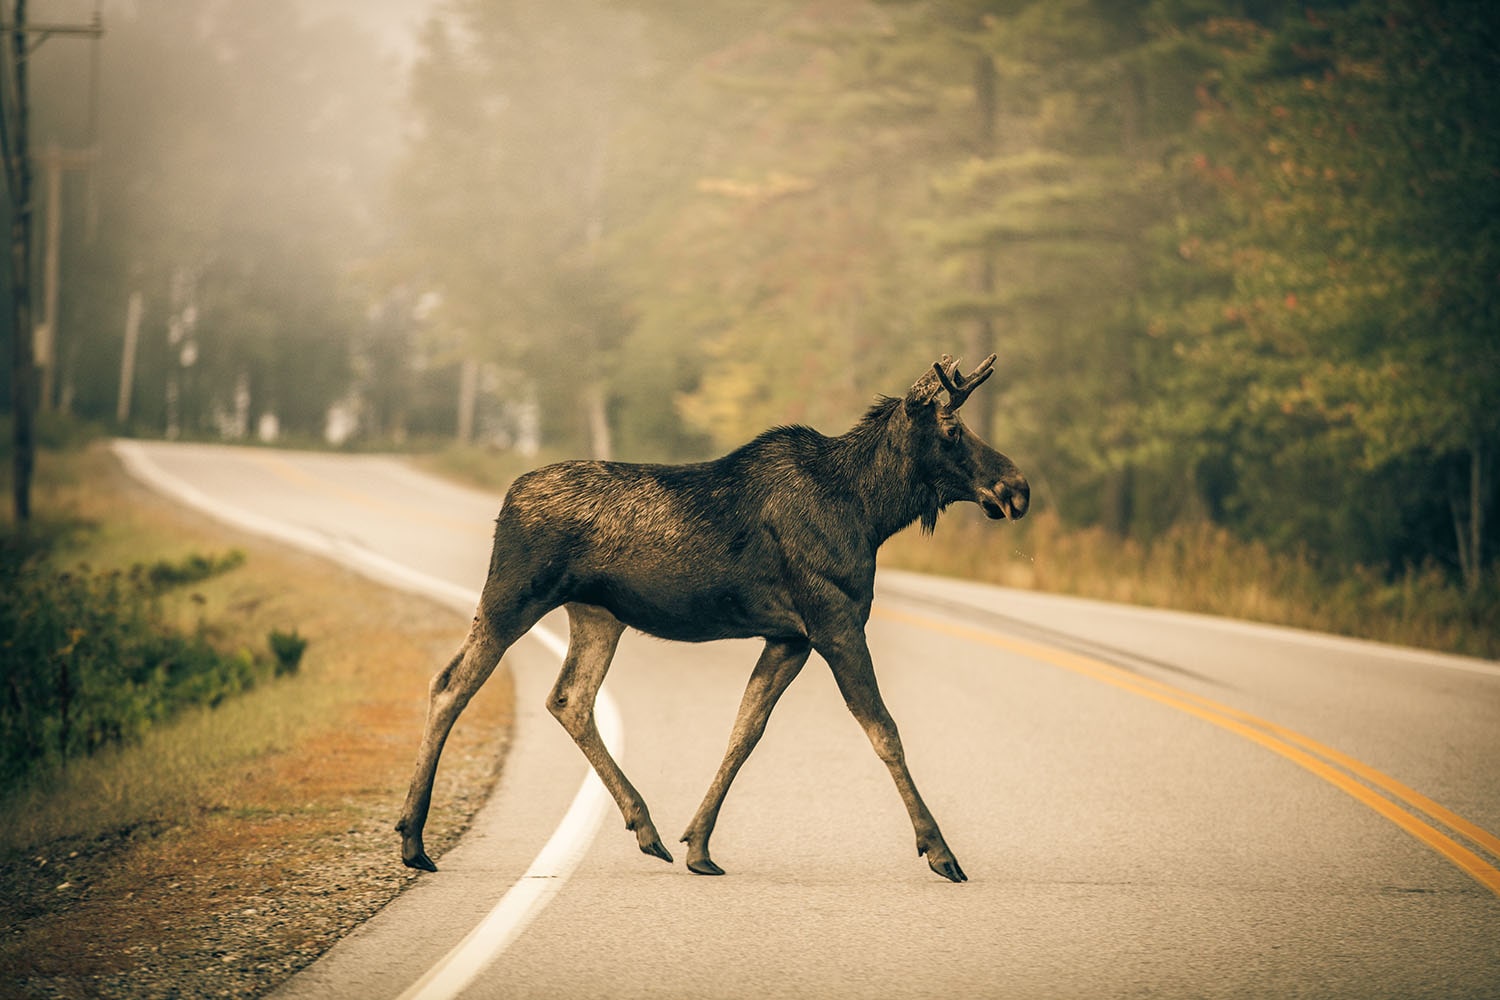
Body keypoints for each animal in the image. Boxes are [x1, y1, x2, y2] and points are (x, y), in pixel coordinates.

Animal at [396, 353, 1032, 881]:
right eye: (952, 430)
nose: (1017, 487)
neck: (871, 511)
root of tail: (506, 501)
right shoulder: (835, 621)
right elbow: (884, 730)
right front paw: (941, 851)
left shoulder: (788, 637)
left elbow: (745, 730)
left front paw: (698, 844)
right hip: (512, 594)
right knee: (451, 682)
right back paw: (412, 839)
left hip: (598, 614)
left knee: (569, 698)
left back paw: (647, 828)